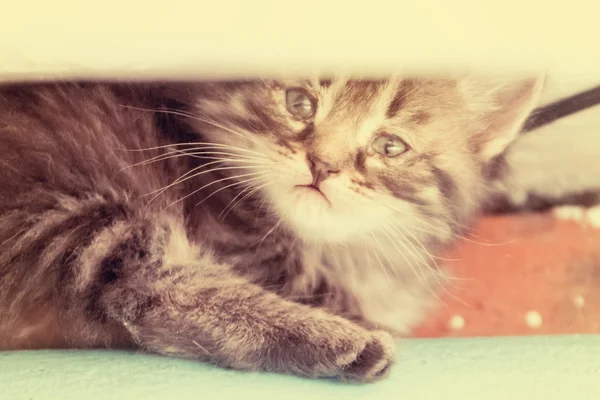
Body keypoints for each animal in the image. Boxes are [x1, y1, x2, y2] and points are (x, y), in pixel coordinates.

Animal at [0, 76, 544, 382]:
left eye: (390, 146)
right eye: (299, 103)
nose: (323, 165)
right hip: (85, 226)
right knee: (153, 293)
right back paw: (342, 342)